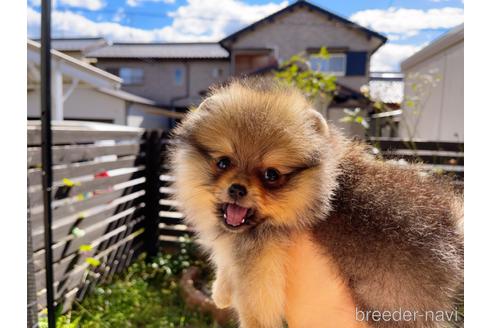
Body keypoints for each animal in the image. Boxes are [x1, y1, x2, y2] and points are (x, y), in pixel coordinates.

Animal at [170, 77, 466, 328]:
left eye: (271, 175)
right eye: (223, 162)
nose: (237, 188)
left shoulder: (260, 264)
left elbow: (255, 311)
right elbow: (225, 263)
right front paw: (220, 291)